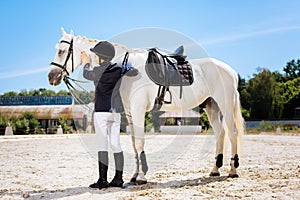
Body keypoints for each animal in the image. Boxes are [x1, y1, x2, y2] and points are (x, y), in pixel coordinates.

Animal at [48, 28, 244, 184]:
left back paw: (233, 170)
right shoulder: (129, 112)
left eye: (62, 51)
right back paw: (215, 170)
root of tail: (231, 71)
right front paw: (135, 175)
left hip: (225, 105)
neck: (124, 67)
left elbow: (140, 142)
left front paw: (142, 177)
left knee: (232, 133)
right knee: (220, 133)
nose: (51, 76)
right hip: (211, 107)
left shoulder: (138, 110)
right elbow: (135, 144)